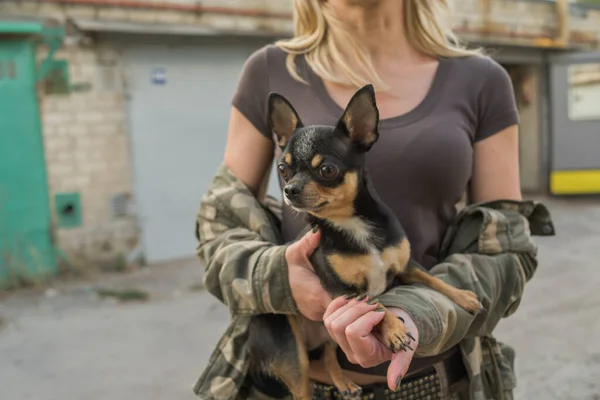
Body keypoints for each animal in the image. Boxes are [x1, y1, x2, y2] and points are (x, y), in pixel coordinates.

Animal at [247, 84, 482, 400]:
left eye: (327, 170)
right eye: (283, 169)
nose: (289, 190)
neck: (352, 224)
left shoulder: (406, 265)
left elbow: (432, 279)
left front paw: (463, 295)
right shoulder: (346, 292)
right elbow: (377, 305)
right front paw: (394, 329)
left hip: (327, 335)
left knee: (328, 357)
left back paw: (343, 382)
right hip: (293, 354)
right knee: (303, 382)